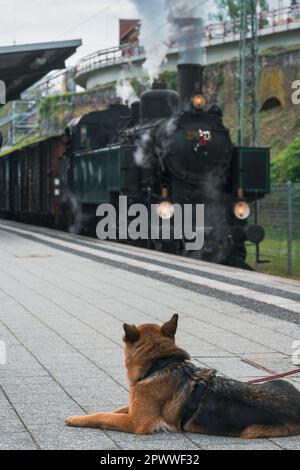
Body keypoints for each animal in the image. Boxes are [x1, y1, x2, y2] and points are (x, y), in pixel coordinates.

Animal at [65, 314, 300, 438]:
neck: (160, 363)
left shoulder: (136, 422)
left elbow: (103, 416)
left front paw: (78, 419)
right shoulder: (133, 409)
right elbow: (113, 410)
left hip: (251, 431)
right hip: (281, 381)